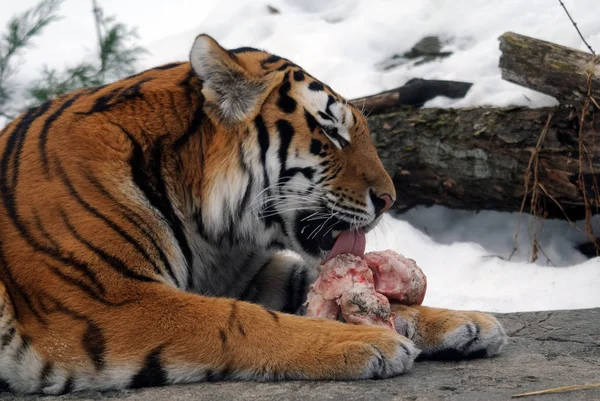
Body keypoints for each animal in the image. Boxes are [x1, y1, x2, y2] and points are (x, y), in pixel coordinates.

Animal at [0, 35, 506, 394]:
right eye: (331, 132)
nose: (390, 198)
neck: (207, 231)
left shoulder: (249, 274)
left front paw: (466, 322)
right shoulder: (109, 300)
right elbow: (240, 320)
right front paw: (369, 342)